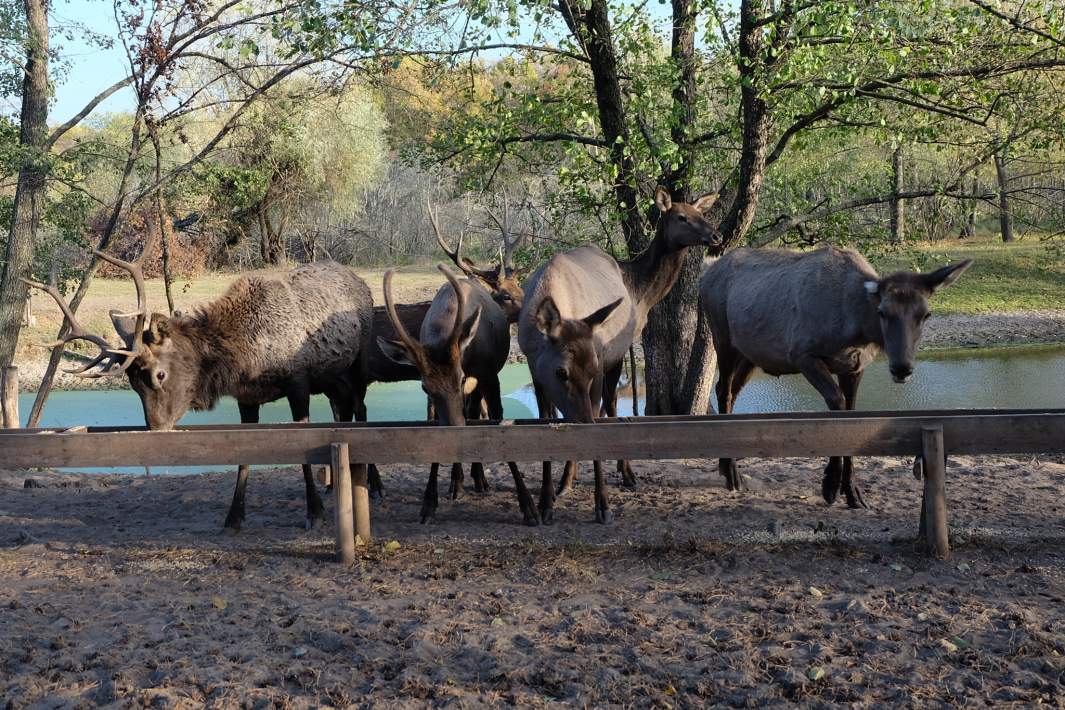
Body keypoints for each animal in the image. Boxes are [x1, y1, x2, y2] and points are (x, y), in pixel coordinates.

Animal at [25, 252, 374, 530]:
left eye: (159, 374)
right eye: (132, 384)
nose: (156, 428)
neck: (243, 356)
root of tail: (360, 282)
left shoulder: (298, 383)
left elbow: (302, 451)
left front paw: (315, 514)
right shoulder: (247, 397)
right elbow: (244, 457)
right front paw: (234, 517)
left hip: (357, 366)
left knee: (361, 410)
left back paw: (372, 483)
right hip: (332, 380)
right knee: (342, 409)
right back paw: (337, 483)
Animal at [377, 263, 541, 525]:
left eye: (460, 377)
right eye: (425, 386)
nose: (454, 433)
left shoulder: (488, 376)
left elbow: (497, 420)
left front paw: (528, 506)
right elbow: (436, 423)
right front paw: (429, 503)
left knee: (473, 414)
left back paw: (478, 478)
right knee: (469, 414)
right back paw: (459, 481)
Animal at [517, 186, 719, 525]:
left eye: (701, 214)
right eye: (681, 217)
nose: (716, 235)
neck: (643, 294)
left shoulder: (605, 358)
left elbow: (603, 413)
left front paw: (602, 501)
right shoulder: (538, 372)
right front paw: (545, 501)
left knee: (609, 406)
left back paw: (621, 473)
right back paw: (571, 479)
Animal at [702, 246, 971, 508]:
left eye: (926, 314)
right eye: (882, 312)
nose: (901, 368)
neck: (855, 329)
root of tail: (706, 273)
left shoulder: (854, 367)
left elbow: (850, 414)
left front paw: (852, 492)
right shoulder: (802, 354)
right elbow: (837, 405)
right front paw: (830, 485)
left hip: (750, 354)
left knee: (733, 390)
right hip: (722, 337)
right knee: (722, 388)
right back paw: (729, 470)